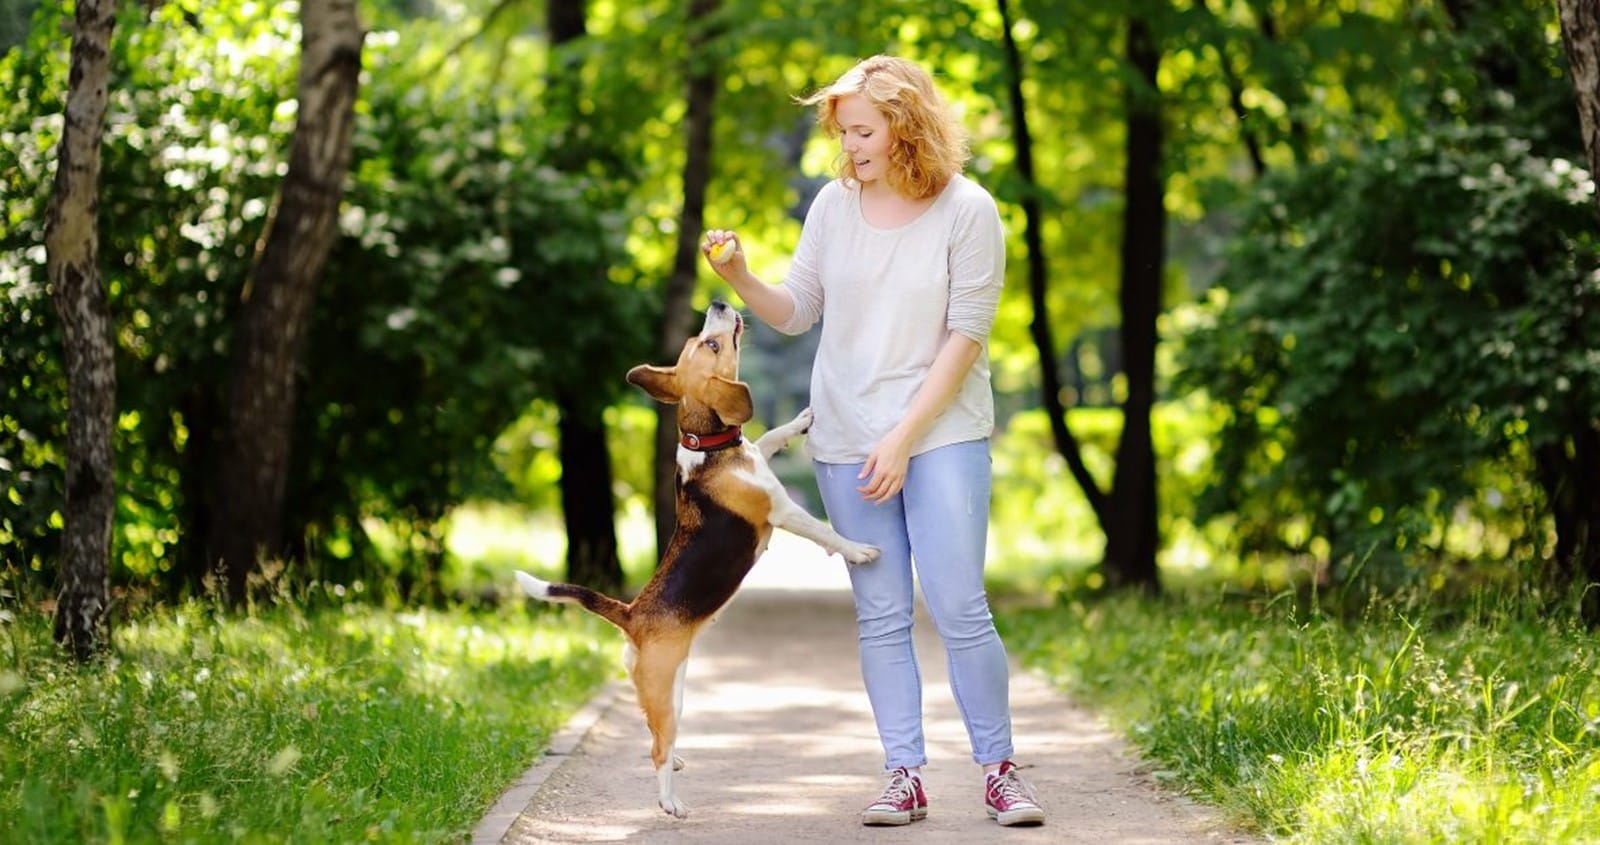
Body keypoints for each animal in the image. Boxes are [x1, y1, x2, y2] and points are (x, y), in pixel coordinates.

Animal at [518, 300, 883, 816]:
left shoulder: (760, 458)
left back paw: (677, 760)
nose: (719, 303)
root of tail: (631, 613)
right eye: (710, 344)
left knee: (656, 732)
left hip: (671, 689)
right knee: (656, 747)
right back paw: (670, 800)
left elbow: (770, 436)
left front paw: (798, 422)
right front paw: (859, 549)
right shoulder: (782, 510)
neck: (706, 446)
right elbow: (823, 531)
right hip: (663, 689)